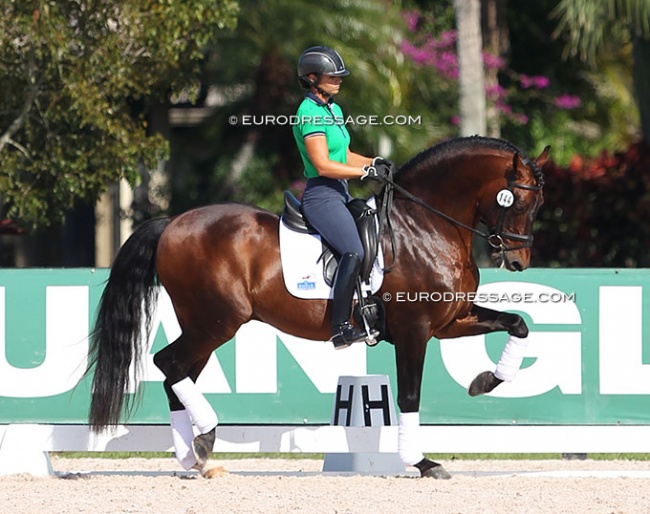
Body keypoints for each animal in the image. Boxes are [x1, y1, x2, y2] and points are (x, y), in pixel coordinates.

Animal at [87, 135, 548, 476]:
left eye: (538, 205)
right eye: (519, 202)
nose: (518, 261)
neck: (426, 226)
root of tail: (173, 223)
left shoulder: (451, 320)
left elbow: (518, 324)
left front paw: (486, 381)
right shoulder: (414, 330)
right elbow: (410, 395)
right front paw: (421, 462)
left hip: (202, 325)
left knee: (176, 376)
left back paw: (195, 456)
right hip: (216, 323)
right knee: (169, 364)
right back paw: (204, 439)